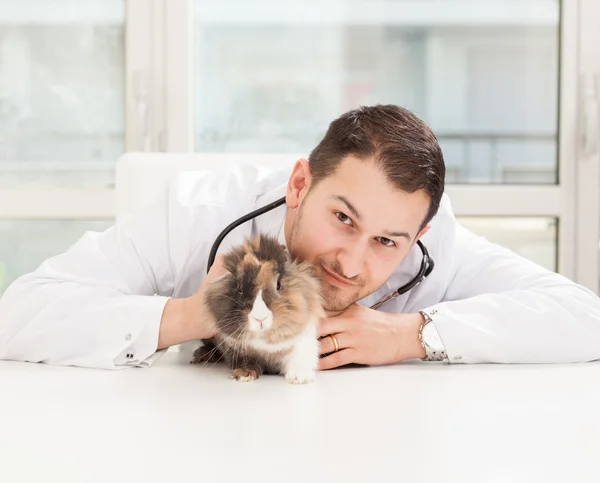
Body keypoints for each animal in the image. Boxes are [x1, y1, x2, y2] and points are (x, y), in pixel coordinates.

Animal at [191, 233, 324, 384]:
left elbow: (299, 358)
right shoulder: (237, 349)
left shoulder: (303, 341)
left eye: (278, 284)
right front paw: (243, 375)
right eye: (239, 287)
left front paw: (299, 378)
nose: (260, 318)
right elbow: (246, 361)